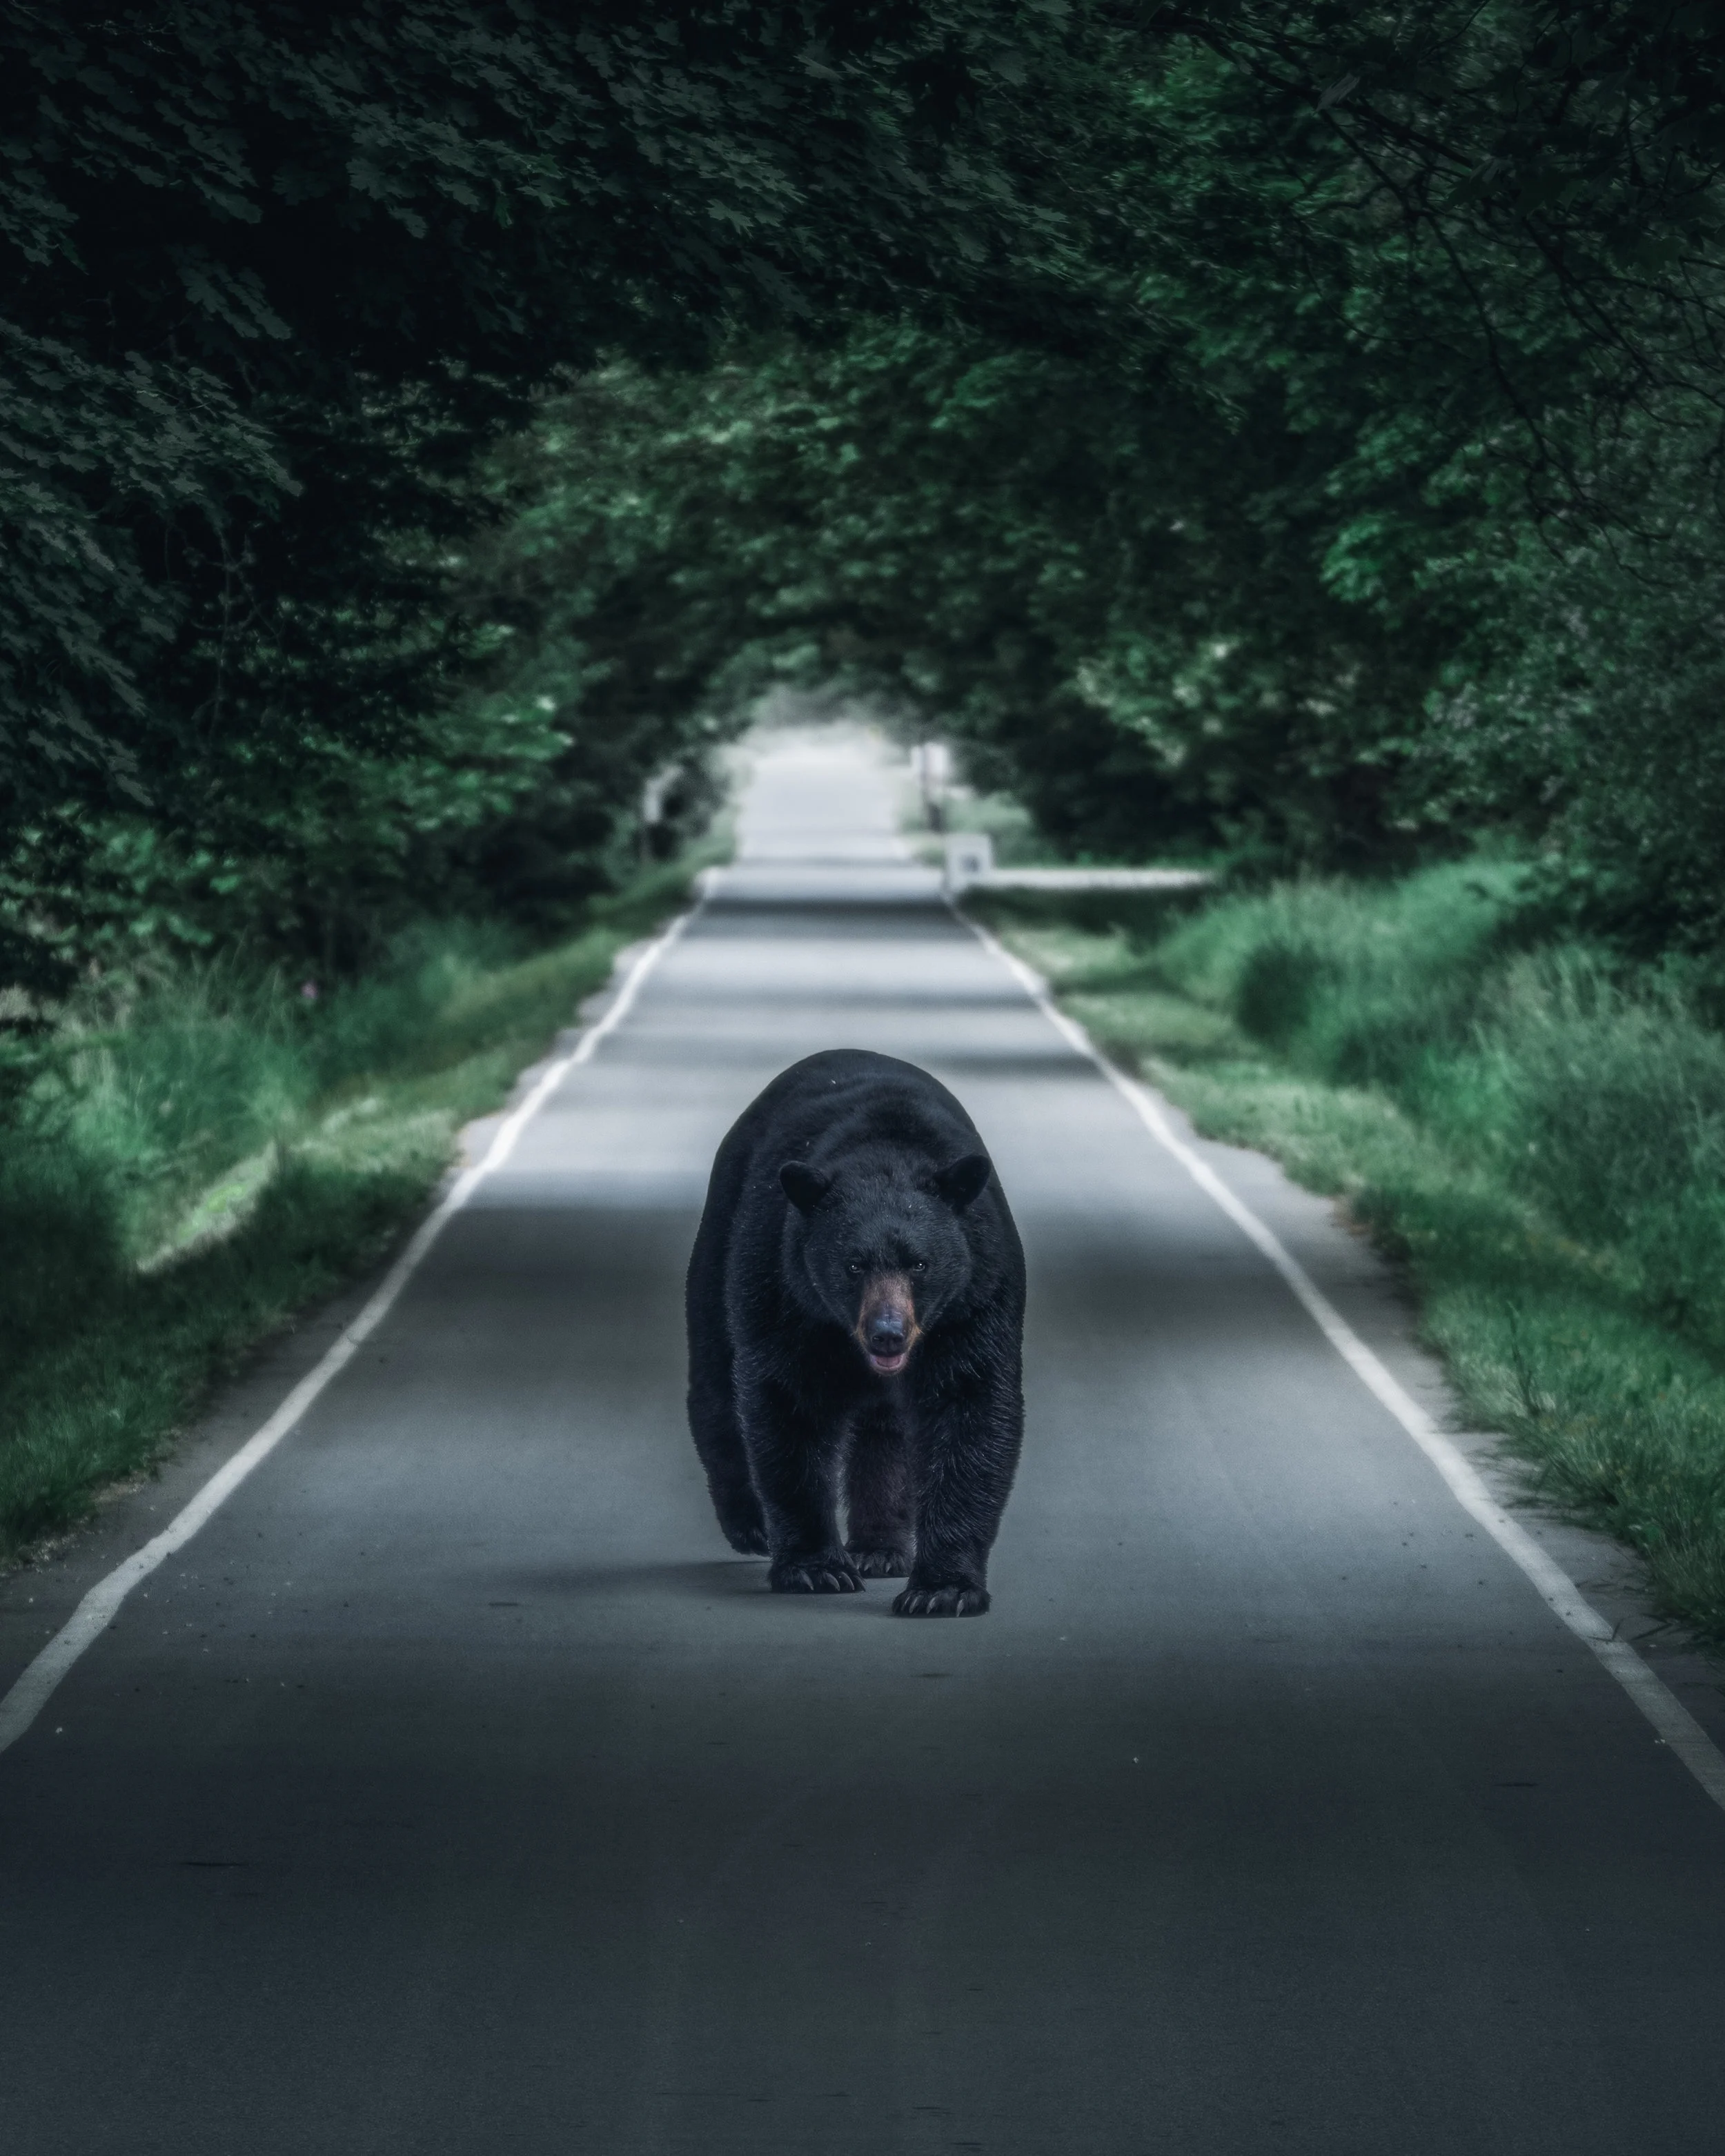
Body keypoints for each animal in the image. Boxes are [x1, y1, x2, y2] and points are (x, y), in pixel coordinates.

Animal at [685, 1048, 1026, 1616]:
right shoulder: (785, 1291)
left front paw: (943, 1589)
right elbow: (788, 1409)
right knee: (715, 1375)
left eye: (920, 1263)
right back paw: (748, 1524)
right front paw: (815, 1567)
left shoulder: (976, 1299)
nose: (888, 1333)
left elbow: (970, 1409)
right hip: (721, 1235)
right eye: (853, 1265)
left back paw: (880, 1547)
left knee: (885, 1434)